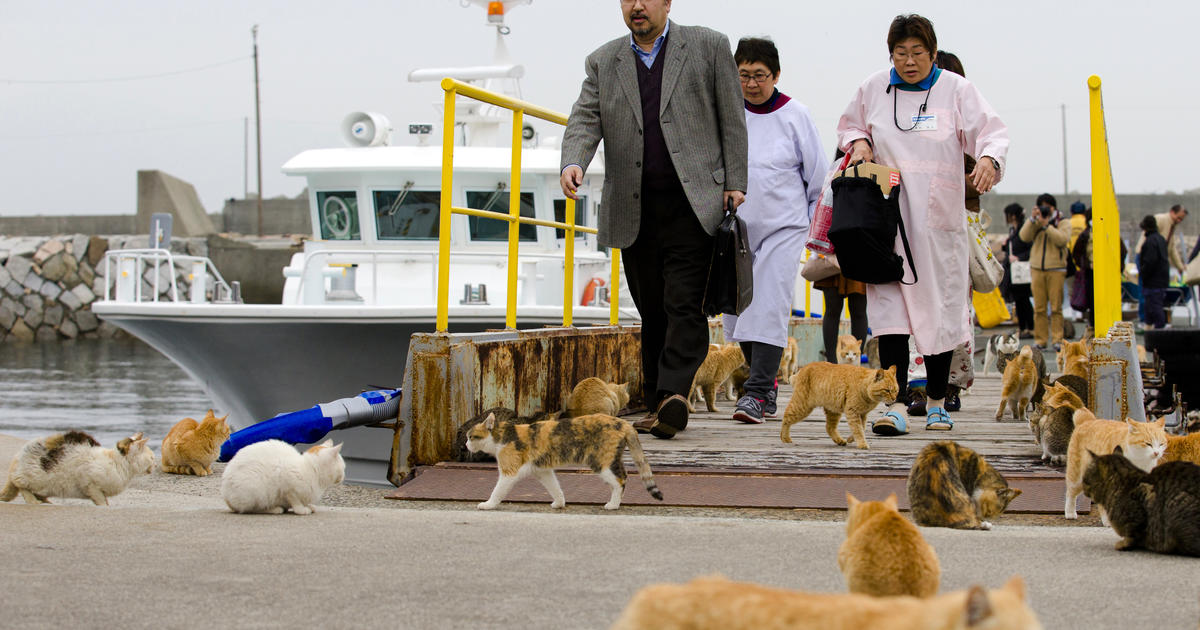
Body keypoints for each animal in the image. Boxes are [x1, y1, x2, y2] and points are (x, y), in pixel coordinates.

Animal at [0, 427, 154, 506]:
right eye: (152, 457)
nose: (156, 463)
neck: (117, 462)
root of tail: (17, 458)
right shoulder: (91, 484)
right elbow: (100, 500)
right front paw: (103, 506)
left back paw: (45, 501)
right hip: (33, 478)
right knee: (20, 485)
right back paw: (34, 501)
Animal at [460, 410, 667, 508]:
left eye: (470, 436)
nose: (466, 445)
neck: (503, 435)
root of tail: (623, 422)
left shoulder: (509, 472)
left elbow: (497, 491)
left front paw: (488, 505)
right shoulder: (543, 471)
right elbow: (554, 487)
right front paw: (559, 503)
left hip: (601, 461)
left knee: (621, 480)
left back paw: (613, 505)